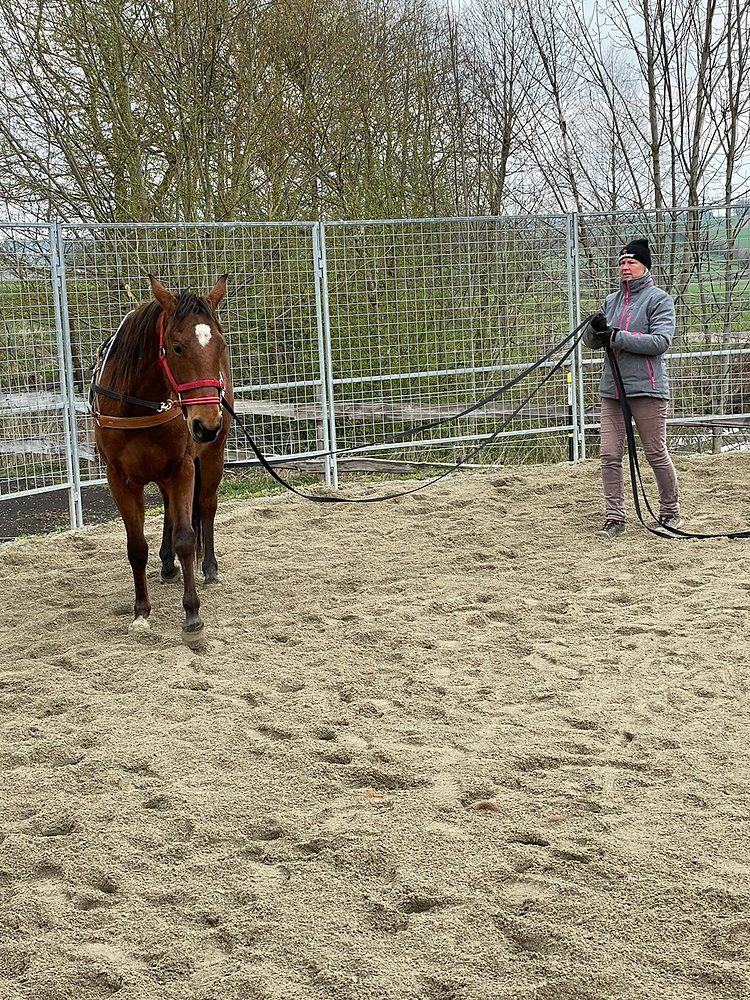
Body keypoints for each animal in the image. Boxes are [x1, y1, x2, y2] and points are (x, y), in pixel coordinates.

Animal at [90, 275, 234, 648]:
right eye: (177, 347)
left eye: (221, 344)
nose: (206, 424)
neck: (138, 405)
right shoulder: (119, 478)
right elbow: (136, 546)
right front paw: (141, 613)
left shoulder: (183, 467)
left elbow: (186, 536)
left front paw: (192, 616)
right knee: (169, 507)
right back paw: (167, 565)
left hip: (213, 456)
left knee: (207, 506)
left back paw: (208, 569)